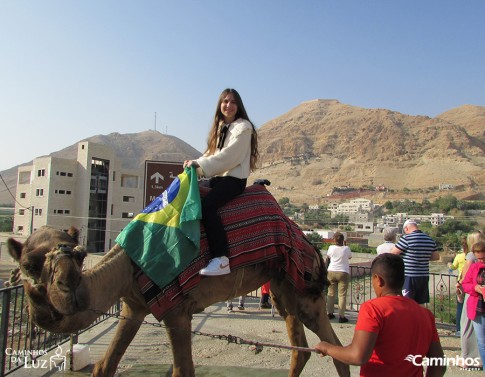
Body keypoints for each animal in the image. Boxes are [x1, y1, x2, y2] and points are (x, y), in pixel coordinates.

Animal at [7, 220, 348, 374]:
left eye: (79, 255)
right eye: (28, 263)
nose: (65, 283)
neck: (127, 266)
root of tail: (312, 246)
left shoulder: (176, 311)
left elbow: (183, 370)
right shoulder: (134, 307)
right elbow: (105, 365)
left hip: (304, 290)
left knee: (336, 347)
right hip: (281, 287)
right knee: (302, 348)